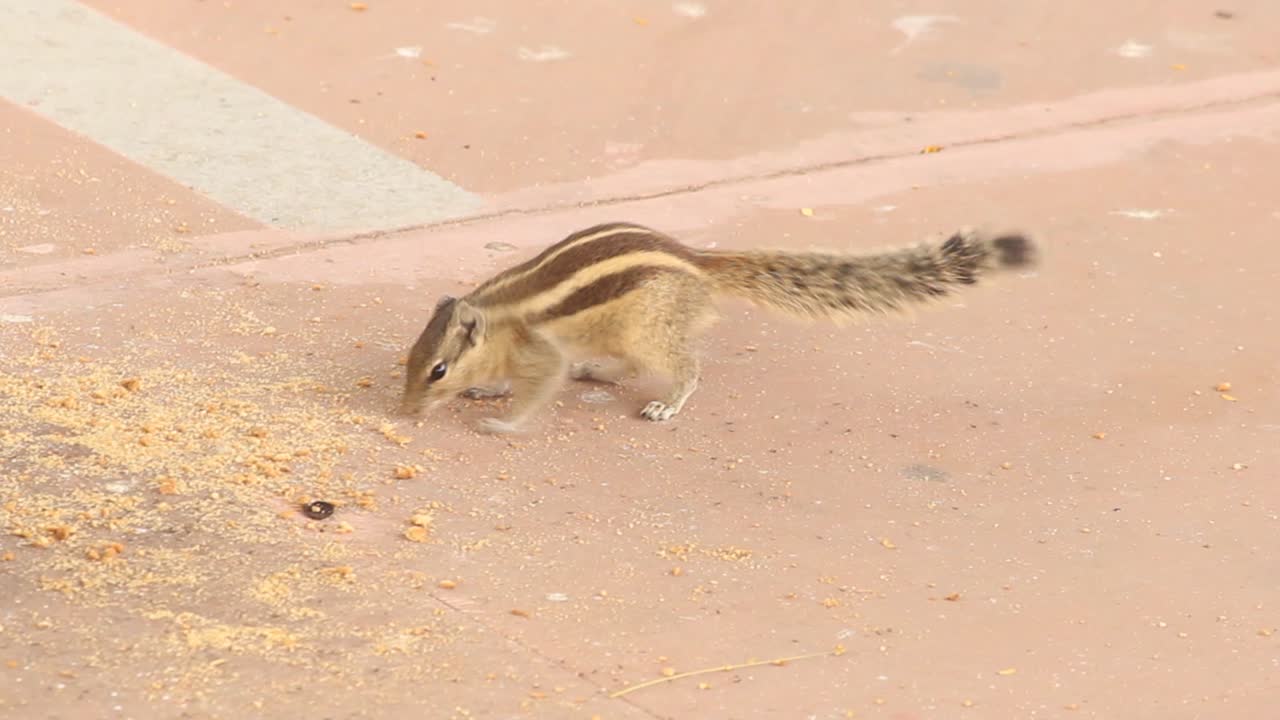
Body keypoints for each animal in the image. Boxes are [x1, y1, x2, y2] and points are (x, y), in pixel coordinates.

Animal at [399, 221, 1035, 434]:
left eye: (438, 369)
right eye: (410, 358)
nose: (404, 412)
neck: (499, 317)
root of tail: (698, 263)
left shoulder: (541, 351)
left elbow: (538, 389)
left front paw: (504, 422)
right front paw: (489, 390)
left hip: (650, 332)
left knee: (685, 367)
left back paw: (667, 404)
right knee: (623, 364)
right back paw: (596, 371)